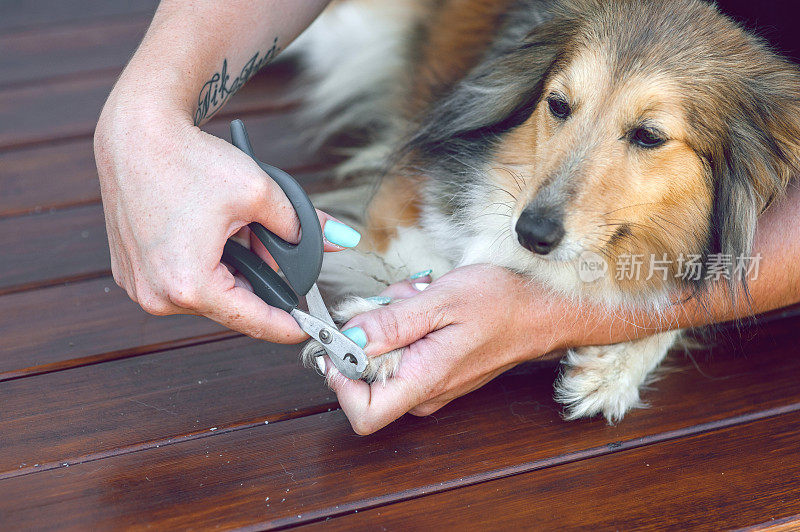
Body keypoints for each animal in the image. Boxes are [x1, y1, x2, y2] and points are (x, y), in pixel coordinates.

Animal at [292, 1, 800, 424]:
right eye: (557, 104)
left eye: (649, 135)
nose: (531, 233)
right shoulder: (399, 207)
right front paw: (382, 336)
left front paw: (613, 371)